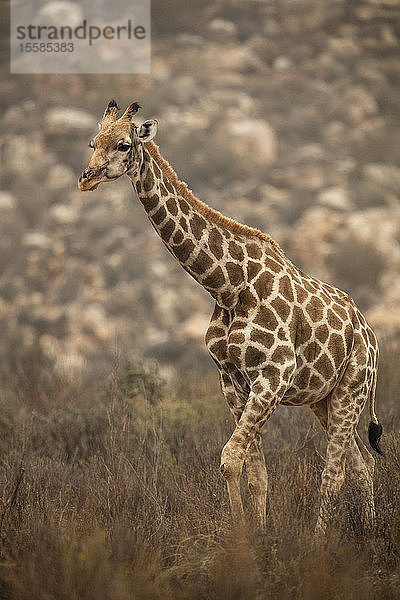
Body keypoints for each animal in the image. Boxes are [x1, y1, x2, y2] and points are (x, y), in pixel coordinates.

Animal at [79, 101, 384, 536]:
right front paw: (253, 536)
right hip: (323, 399)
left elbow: (229, 459)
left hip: (351, 390)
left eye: (124, 144)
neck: (226, 287)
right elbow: (253, 472)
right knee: (363, 464)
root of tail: (371, 336)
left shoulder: (274, 376)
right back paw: (372, 530)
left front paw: (244, 542)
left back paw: (320, 542)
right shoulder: (232, 382)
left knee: (336, 470)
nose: (86, 179)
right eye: (92, 142)